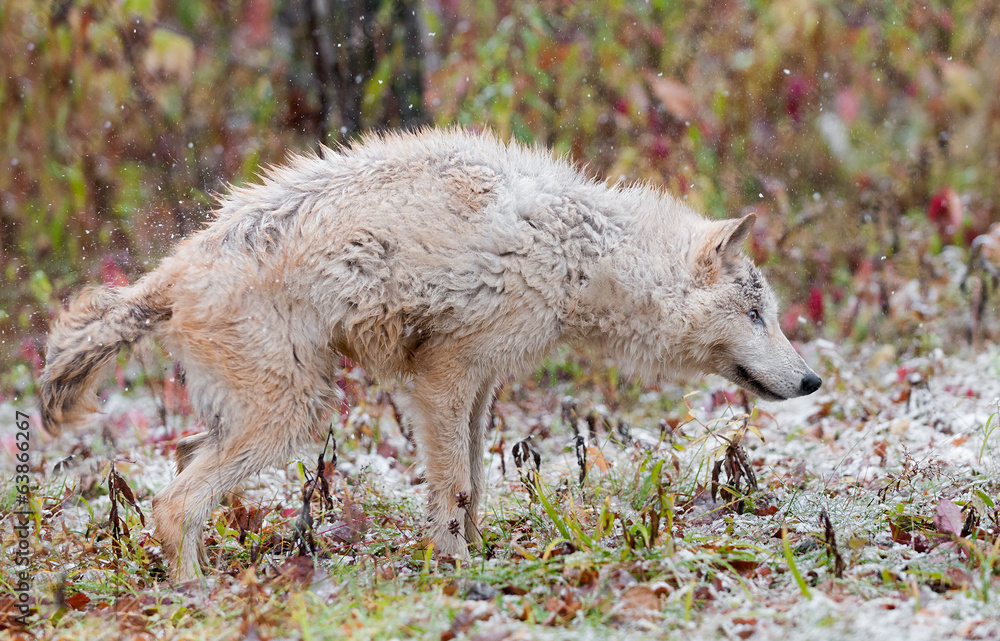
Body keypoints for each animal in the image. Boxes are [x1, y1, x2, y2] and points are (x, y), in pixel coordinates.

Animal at [39, 128, 821, 581]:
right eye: (756, 314)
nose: (813, 380)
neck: (579, 252)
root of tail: (167, 274)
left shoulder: (477, 387)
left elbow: (474, 480)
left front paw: (480, 557)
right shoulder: (442, 379)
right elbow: (458, 488)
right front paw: (455, 568)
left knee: (177, 487)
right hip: (296, 416)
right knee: (173, 505)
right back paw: (198, 596)